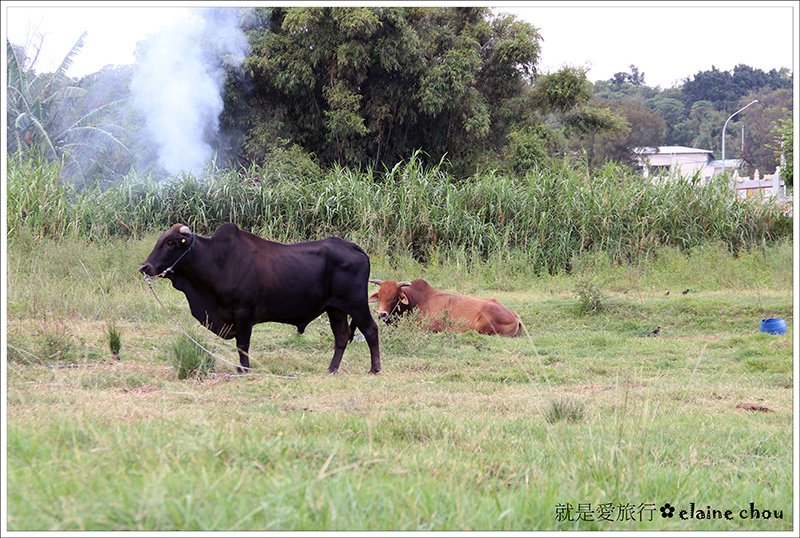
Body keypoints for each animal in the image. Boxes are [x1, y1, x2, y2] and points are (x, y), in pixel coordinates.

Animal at [138, 222, 382, 372]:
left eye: (170, 242)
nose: (145, 267)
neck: (218, 260)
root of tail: (350, 246)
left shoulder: (243, 313)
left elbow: (242, 344)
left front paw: (244, 369)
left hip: (356, 304)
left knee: (370, 329)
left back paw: (374, 368)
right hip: (335, 309)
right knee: (341, 336)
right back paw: (331, 369)